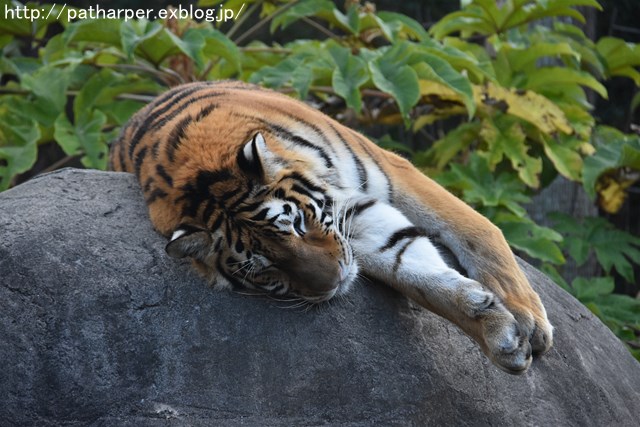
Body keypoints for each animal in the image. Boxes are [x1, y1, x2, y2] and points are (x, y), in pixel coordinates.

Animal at [109, 80, 552, 374]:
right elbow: (417, 272)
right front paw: (500, 334)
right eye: (265, 269)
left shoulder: (391, 175)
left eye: (297, 223)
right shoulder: (356, 229)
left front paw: (527, 320)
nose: (334, 281)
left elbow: (478, 231)